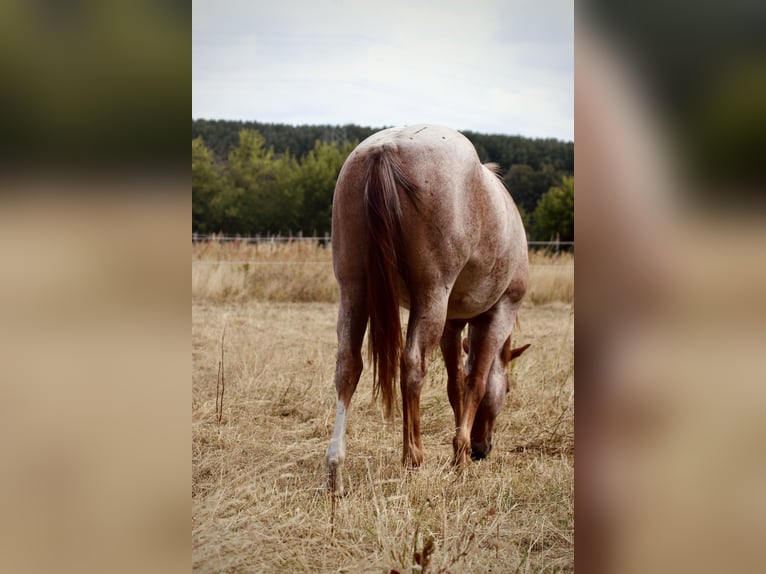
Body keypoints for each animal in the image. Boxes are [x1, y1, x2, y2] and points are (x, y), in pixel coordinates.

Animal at [325, 124, 529, 495]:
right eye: (508, 390)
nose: (482, 449)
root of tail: (385, 149)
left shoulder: (452, 324)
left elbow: (456, 385)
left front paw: (459, 450)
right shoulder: (498, 315)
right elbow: (476, 382)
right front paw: (460, 457)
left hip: (354, 291)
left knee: (348, 366)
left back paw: (335, 469)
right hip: (431, 297)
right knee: (412, 366)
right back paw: (413, 458)